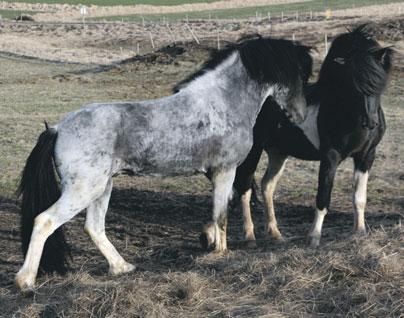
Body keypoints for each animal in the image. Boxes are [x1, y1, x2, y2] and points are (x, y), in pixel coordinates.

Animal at [15, 35, 306, 290]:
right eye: (296, 75)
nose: (300, 116)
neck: (223, 103)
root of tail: (58, 128)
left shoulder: (218, 174)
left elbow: (220, 209)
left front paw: (209, 240)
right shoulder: (225, 170)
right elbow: (221, 214)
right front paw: (220, 252)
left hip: (102, 188)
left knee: (94, 227)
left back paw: (122, 267)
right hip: (84, 190)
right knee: (44, 221)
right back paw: (25, 281)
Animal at [235, 25, 392, 248]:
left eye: (379, 83)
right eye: (353, 84)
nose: (371, 123)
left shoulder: (366, 156)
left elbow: (359, 197)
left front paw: (360, 231)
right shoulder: (330, 157)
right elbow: (323, 198)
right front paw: (314, 237)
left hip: (278, 152)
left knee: (267, 186)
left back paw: (275, 233)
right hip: (254, 151)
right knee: (245, 188)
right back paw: (249, 236)